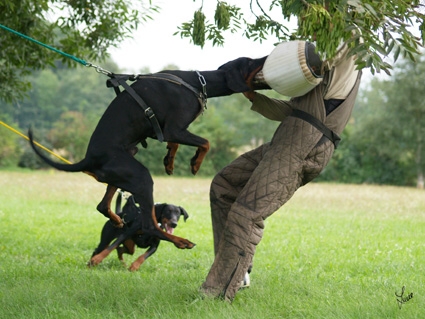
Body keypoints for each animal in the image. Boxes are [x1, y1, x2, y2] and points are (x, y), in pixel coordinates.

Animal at [27, 55, 268, 268]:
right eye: (250, 61)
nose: (267, 56)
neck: (197, 83)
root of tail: (88, 159)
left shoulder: (166, 131)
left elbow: (174, 143)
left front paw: (169, 160)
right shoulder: (175, 128)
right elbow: (206, 142)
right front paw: (195, 163)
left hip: (126, 163)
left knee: (103, 205)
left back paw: (118, 221)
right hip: (141, 177)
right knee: (150, 225)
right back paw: (181, 241)